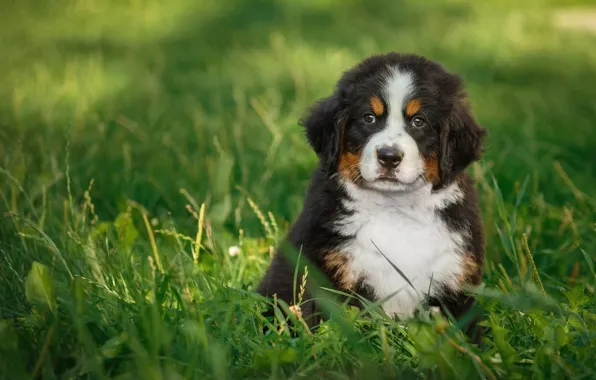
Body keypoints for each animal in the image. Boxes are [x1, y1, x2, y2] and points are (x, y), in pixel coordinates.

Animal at [258, 52, 486, 340]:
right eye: (369, 118)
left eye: (419, 121)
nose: (389, 156)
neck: (396, 210)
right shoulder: (326, 273)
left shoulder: (455, 280)